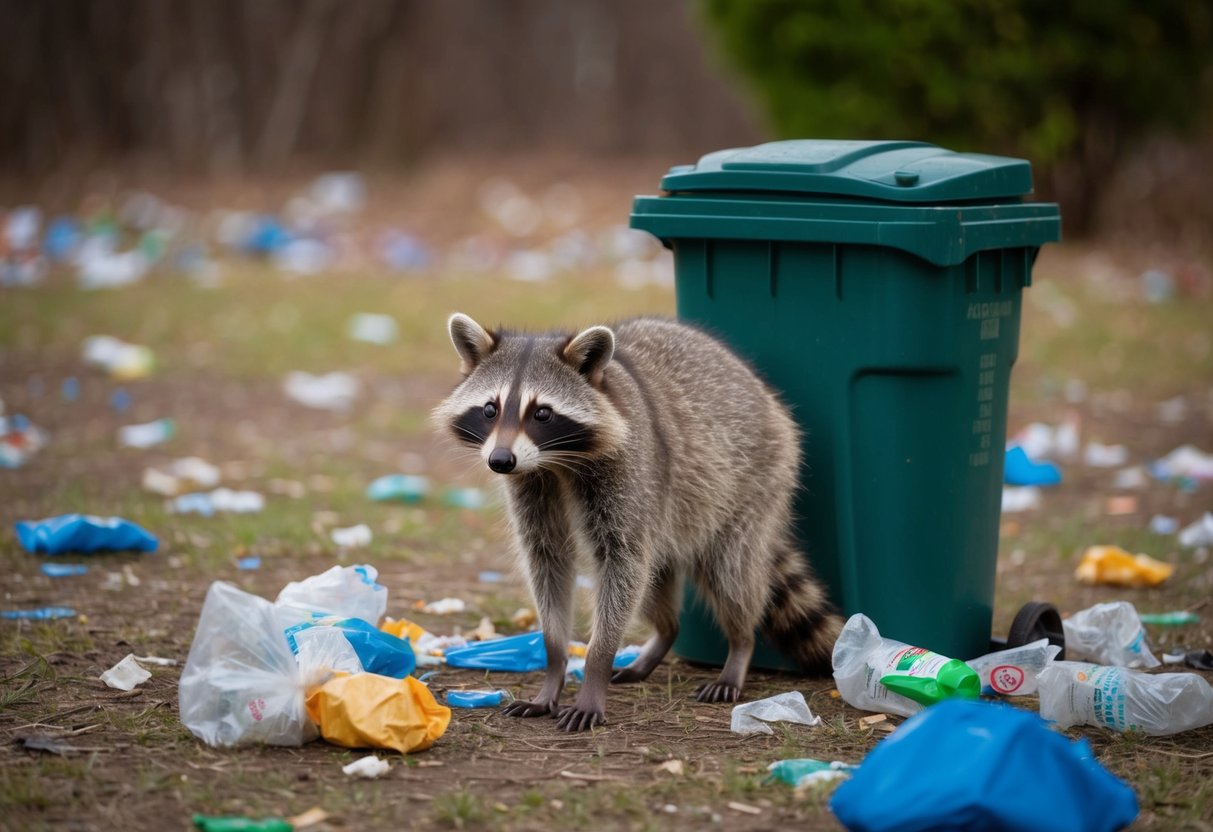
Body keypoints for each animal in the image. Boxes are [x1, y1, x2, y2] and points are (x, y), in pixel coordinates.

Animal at [431, 313, 842, 732]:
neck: (556, 461)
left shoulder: (629, 467)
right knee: (654, 578)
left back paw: (740, 645)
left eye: (541, 413)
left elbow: (622, 563)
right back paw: (665, 634)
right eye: (490, 409)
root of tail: (761, 391)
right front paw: (554, 667)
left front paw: (595, 667)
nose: (500, 460)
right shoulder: (533, 485)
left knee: (730, 572)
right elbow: (548, 562)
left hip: (756, 476)